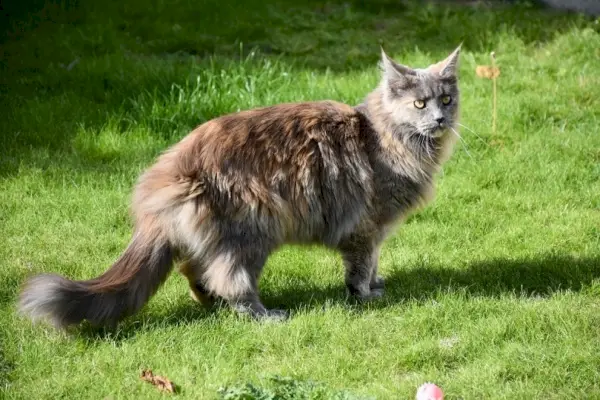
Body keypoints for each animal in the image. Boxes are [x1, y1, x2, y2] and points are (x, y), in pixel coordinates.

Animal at [17, 46, 460, 328]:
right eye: (420, 104)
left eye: (447, 99)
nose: (440, 119)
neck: (382, 135)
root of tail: (169, 169)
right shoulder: (366, 226)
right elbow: (362, 266)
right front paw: (365, 295)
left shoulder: (374, 230)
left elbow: (375, 263)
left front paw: (376, 284)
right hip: (255, 229)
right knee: (229, 280)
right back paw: (265, 316)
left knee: (194, 268)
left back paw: (208, 303)